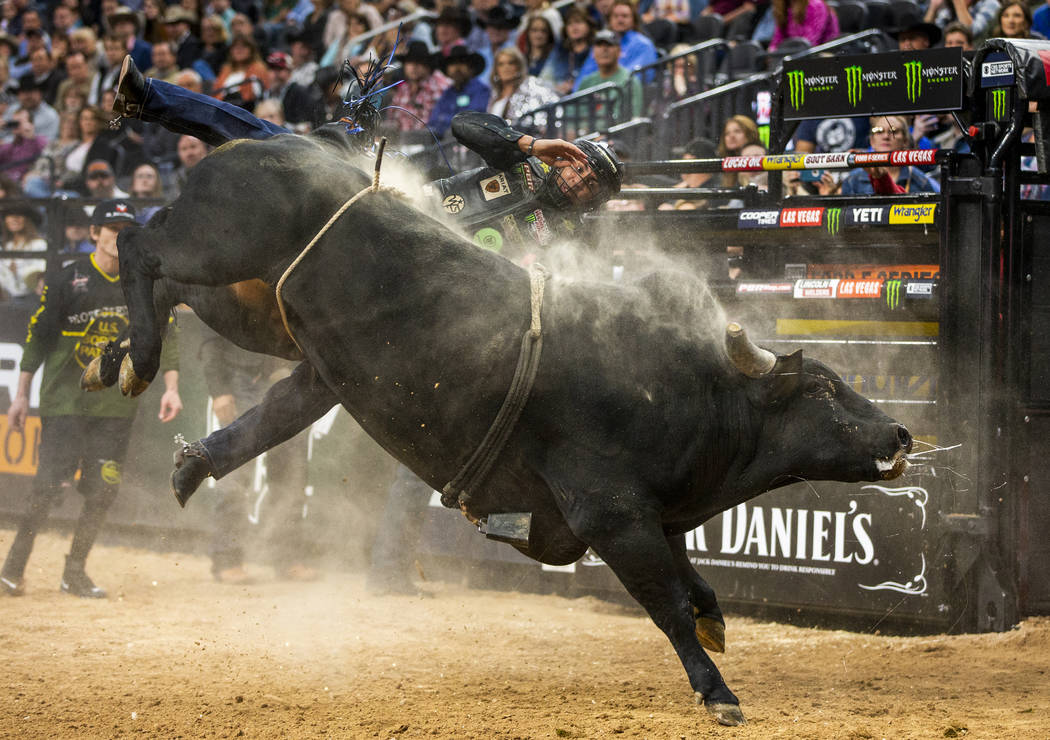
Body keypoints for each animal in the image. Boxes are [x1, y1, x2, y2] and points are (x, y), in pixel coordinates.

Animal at [100, 130, 919, 726]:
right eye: (823, 387)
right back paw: (139, 351)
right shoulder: (612, 516)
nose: (901, 437)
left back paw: (159, 414)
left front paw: (718, 626)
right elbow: (668, 606)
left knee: (192, 313)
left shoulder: (657, 519)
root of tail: (264, 141)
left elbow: (695, 587)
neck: (696, 393)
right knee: (142, 244)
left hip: (255, 310)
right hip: (222, 245)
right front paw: (717, 691)